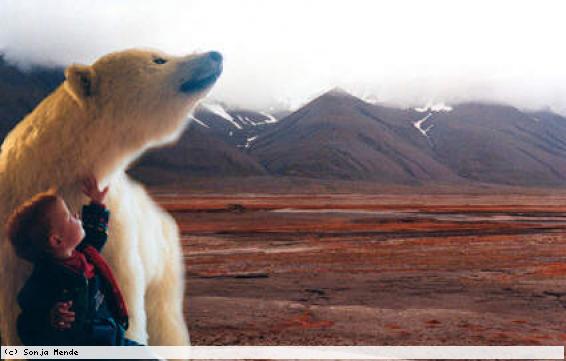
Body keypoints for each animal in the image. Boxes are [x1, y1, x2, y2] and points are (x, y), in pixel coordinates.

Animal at [0, 46, 223, 344]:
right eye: (159, 59)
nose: (215, 55)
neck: (55, 166)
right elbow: (20, 310)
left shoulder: (119, 228)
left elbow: (121, 284)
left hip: (162, 257)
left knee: (164, 317)